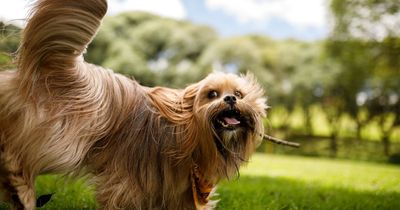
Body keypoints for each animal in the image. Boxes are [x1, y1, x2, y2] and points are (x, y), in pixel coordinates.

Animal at [0, 0, 268, 209]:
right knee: (23, 153)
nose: (230, 99)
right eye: (212, 94)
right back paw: (20, 188)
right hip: (66, 132)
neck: (190, 133)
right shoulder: (131, 177)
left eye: (239, 93)